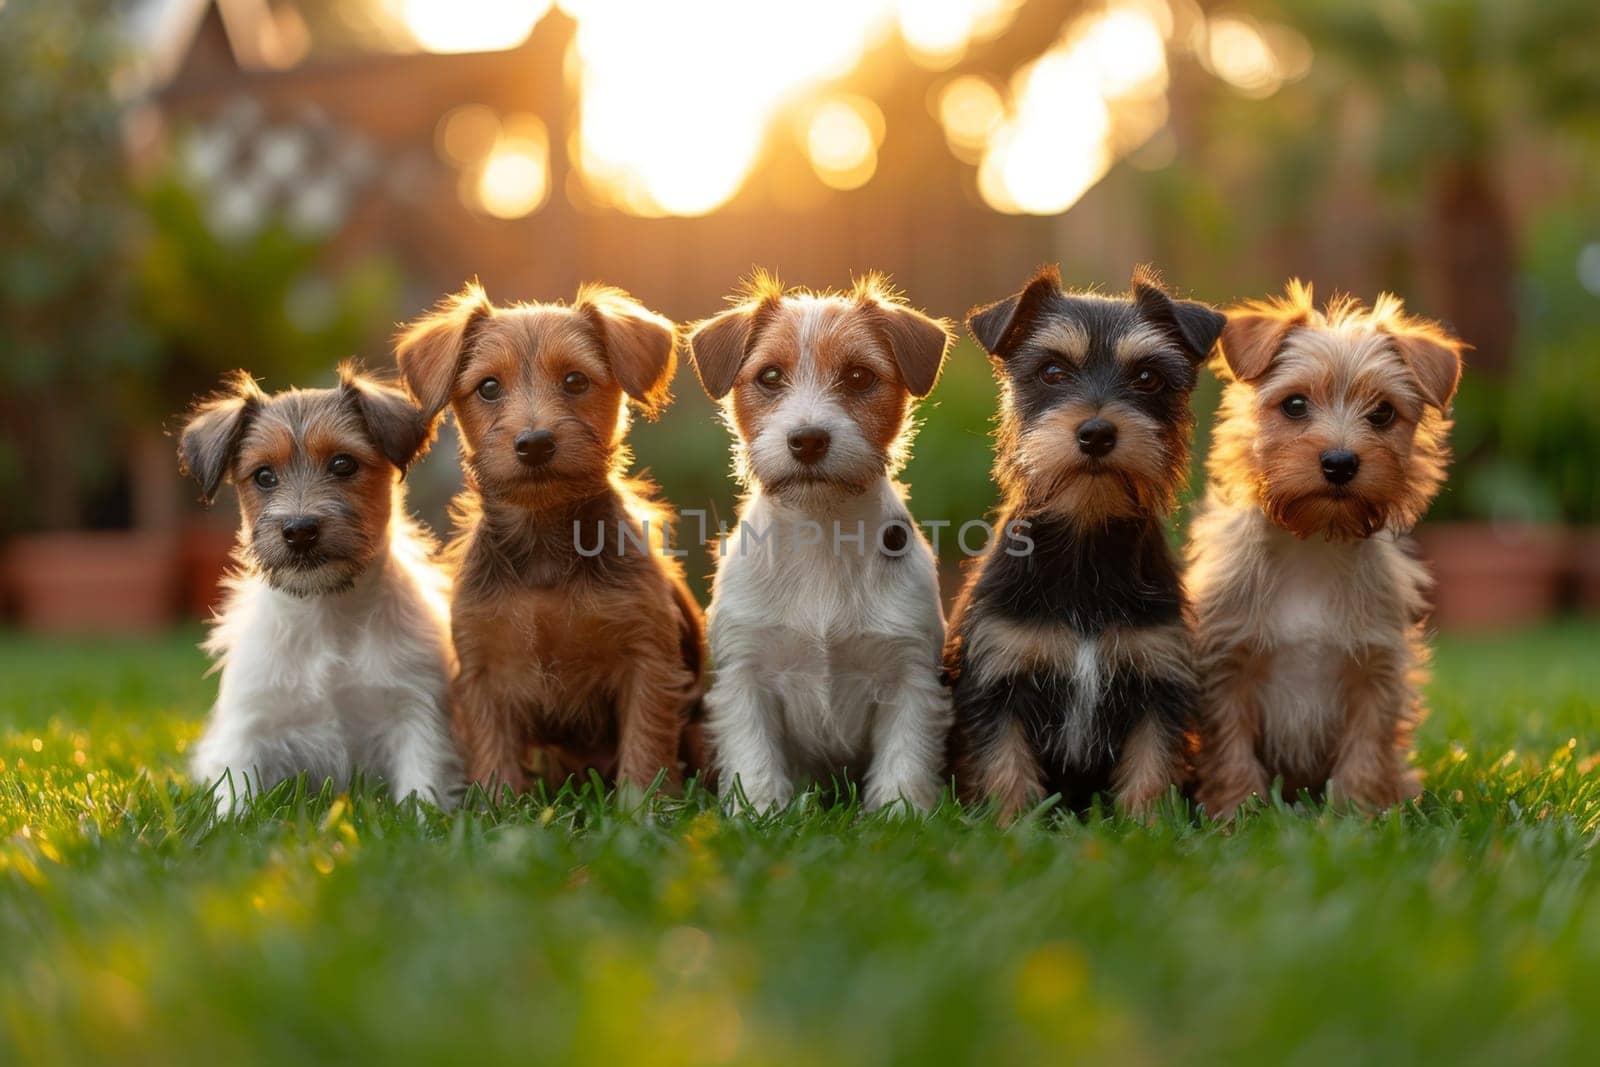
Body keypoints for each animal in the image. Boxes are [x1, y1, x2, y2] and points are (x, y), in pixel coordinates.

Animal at [177, 367, 460, 809]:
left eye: (343, 464)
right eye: (264, 476)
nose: (300, 530)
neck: (326, 614)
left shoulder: (416, 713)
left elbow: (421, 785)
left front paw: (423, 818)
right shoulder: (250, 723)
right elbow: (237, 795)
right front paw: (231, 818)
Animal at [396, 279, 704, 796]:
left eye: (576, 381)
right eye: (489, 387)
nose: (535, 443)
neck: (543, 536)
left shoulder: (647, 660)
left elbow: (645, 745)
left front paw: (644, 807)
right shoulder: (482, 671)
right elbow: (494, 755)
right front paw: (496, 807)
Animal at [684, 273, 953, 809]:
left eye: (858, 377)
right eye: (769, 376)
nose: (807, 440)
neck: (821, 530)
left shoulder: (909, 677)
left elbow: (905, 760)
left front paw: (901, 814)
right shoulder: (746, 677)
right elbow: (755, 760)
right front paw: (759, 812)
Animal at [940, 265, 1216, 819]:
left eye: (1147, 376)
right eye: (1051, 371)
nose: (1096, 433)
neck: (1085, 545)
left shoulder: (1159, 683)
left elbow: (1151, 772)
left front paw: (1147, 828)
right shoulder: (996, 683)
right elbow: (1005, 770)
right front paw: (1009, 827)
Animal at [1190, 281, 1465, 819]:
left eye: (1382, 412)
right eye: (1295, 405)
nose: (1340, 462)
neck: (1313, 545)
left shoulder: (1377, 671)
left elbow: (1366, 750)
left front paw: (1357, 816)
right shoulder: (1227, 666)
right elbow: (1231, 750)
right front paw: (1235, 814)